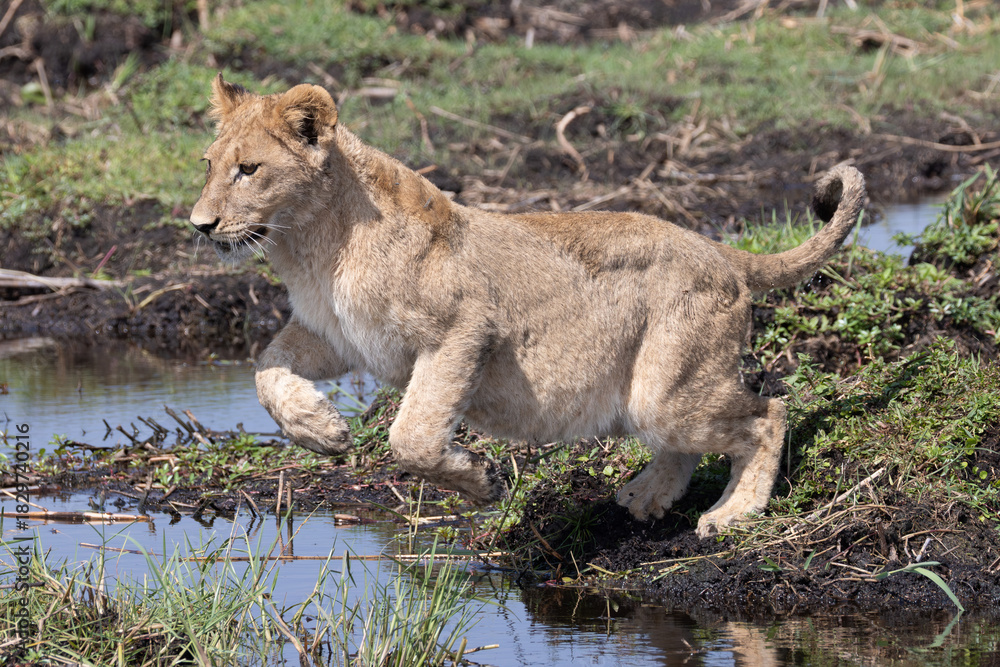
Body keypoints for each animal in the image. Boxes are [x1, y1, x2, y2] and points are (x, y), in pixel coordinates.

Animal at [190, 75, 866, 537]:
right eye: (209, 166)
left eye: (248, 169)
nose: (200, 225)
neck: (313, 246)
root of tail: (721, 250)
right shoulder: (334, 336)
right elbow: (264, 368)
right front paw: (322, 431)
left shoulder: (462, 328)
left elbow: (412, 435)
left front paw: (478, 483)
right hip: (658, 392)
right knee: (693, 438)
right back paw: (647, 495)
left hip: (668, 388)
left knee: (768, 413)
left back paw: (733, 513)